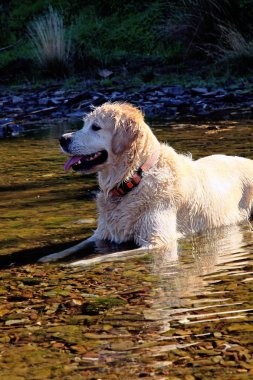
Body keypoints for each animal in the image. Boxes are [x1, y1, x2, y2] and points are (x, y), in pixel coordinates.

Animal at [39, 102, 253, 266]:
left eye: (96, 127)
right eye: (84, 124)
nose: (62, 139)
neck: (134, 179)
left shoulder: (158, 241)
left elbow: (107, 256)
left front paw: (79, 263)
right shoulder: (102, 232)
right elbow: (76, 245)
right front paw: (50, 256)